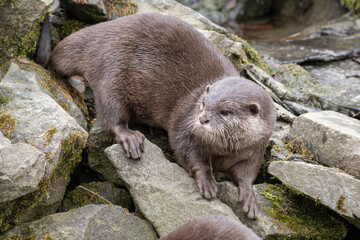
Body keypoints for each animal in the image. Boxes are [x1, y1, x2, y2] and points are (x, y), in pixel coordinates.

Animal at [44, 13, 276, 219]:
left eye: (225, 111)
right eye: (203, 103)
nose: (202, 119)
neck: (223, 150)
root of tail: (105, 30)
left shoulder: (255, 149)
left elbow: (246, 174)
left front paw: (249, 197)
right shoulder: (185, 125)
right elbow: (189, 153)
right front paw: (208, 181)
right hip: (112, 73)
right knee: (111, 115)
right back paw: (131, 138)